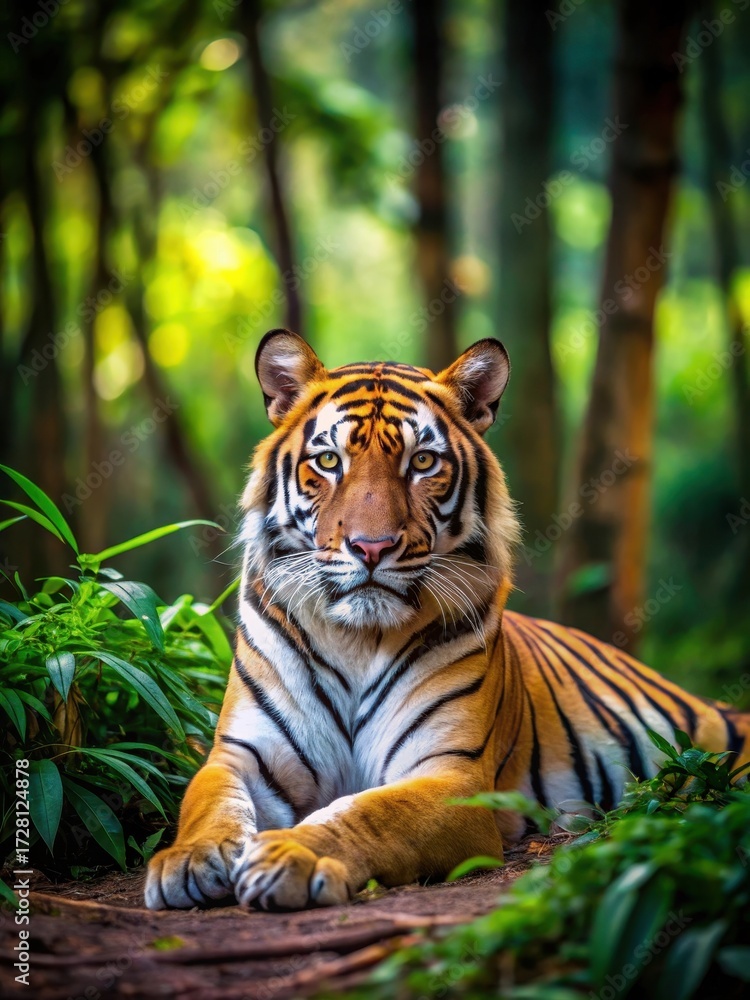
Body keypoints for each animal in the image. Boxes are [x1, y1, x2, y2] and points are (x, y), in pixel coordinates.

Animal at [145, 329, 750, 912]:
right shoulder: (243, 754)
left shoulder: (451, 775)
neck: (355, 640)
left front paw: (291, 854)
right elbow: (207, 801)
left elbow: (365, 813)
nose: (371, 547)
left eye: (422, 463)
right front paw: (187, 860)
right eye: (329, 461)